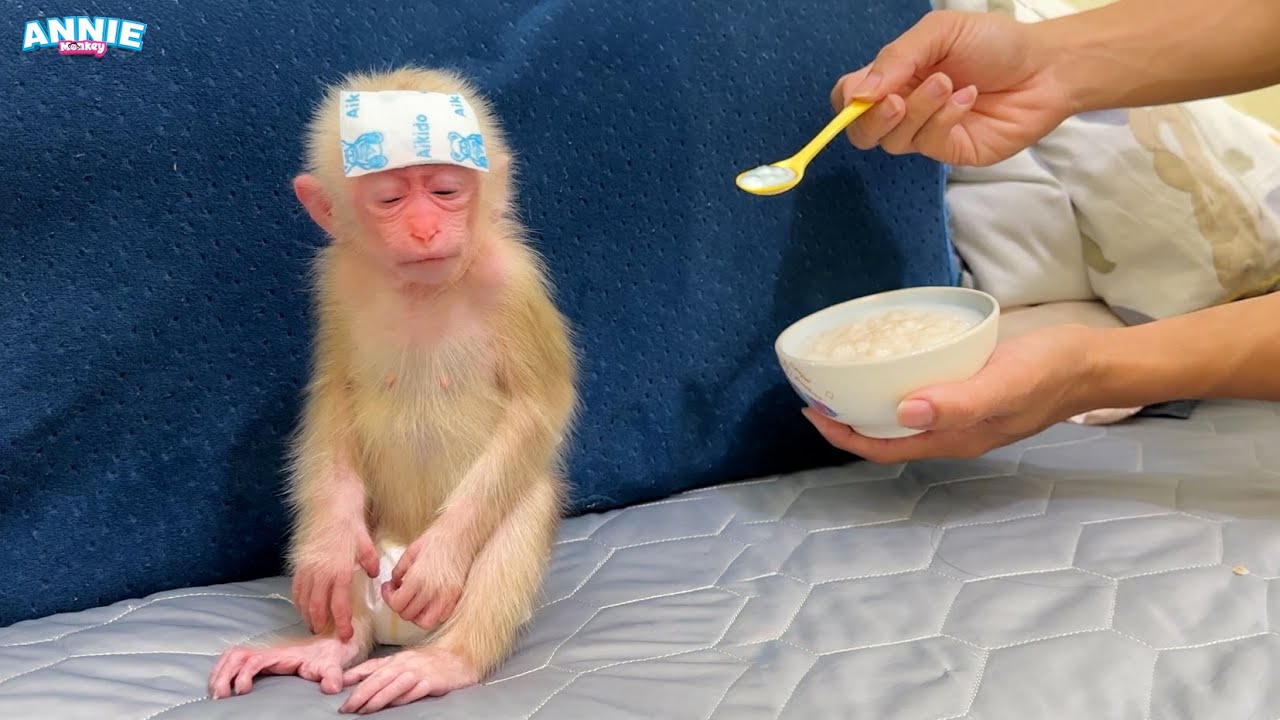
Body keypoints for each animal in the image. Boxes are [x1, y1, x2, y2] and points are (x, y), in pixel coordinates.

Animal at [207, 66, 578, 714]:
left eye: (447, 191)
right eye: (390, 199)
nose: (425, 228)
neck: (424, 286)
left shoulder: (515, 280)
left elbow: (539, 407)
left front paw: (442, 560)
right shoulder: (337, 280)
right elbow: (332, 393)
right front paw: (329, 546)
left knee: (523, 501)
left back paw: (446, 659)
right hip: (368, 566)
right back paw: (331, 642)